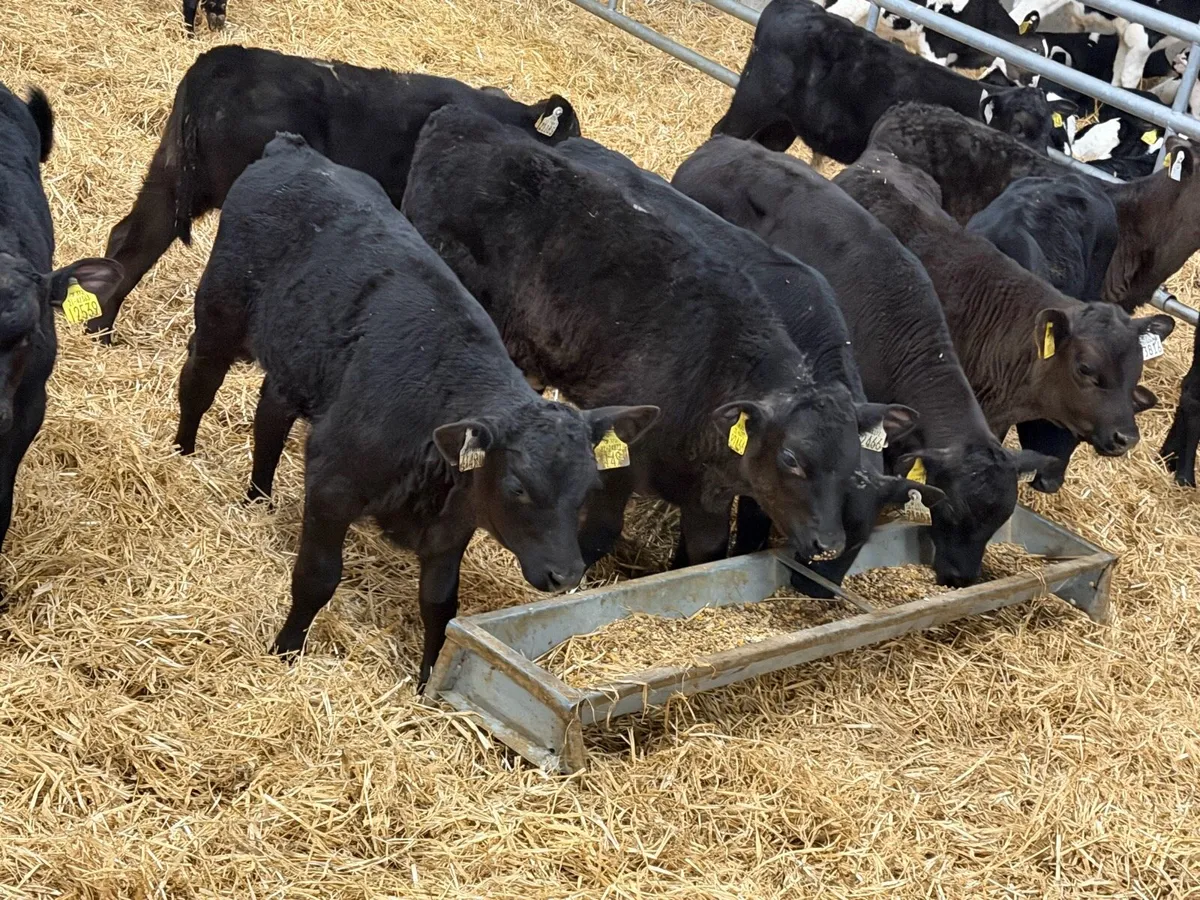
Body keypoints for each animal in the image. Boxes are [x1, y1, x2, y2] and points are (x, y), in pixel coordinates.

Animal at [171, 134, 657, 686]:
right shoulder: (333, 486)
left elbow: (440, 606)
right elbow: (317, 578)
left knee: (271, 415)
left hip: (295, 359)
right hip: (220, 312)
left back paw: (258, 496)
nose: (565, 574)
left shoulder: (452, 527)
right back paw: (181, 453)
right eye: (517, 486)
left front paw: (427, 681)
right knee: (199, 381)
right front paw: (287, 651)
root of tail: (294, 150)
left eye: (587, 488)